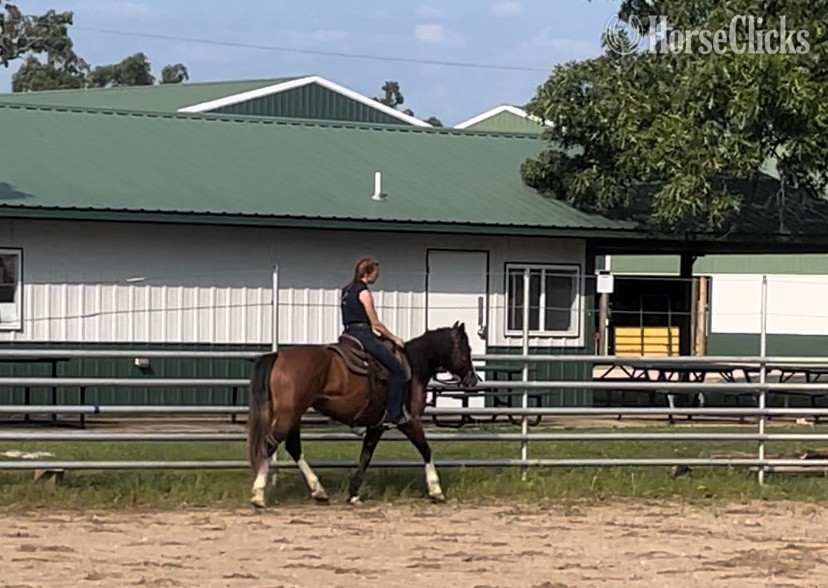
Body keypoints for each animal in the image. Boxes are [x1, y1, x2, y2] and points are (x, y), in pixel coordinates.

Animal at [246, 321, 480, 508]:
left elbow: (365, 457)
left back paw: (319, 491)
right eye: (466, 348)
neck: (414, 366)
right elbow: (426, 450)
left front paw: (353, 494)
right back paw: (258, 495)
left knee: (293, 447)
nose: (472, 379)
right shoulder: (409, 421)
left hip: (294, 415)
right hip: (289, 415)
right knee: (269, 444)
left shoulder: (377, 426)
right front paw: (436, 491)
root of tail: (278, 356)